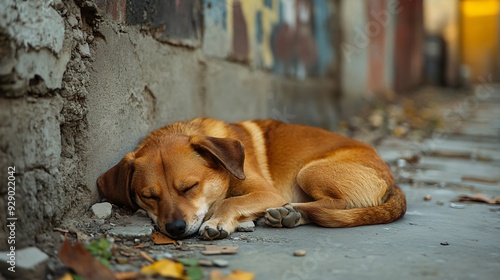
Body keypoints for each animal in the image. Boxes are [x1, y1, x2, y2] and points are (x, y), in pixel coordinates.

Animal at [96, 117, 406, 240]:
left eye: (190, 187)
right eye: (149, 196)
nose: (174, 229)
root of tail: (392, 180)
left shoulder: (267, 193)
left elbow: (229, 203)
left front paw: (218, 221)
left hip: (309, 171)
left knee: (338, 206)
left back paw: (290, 211)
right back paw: (289, 215)